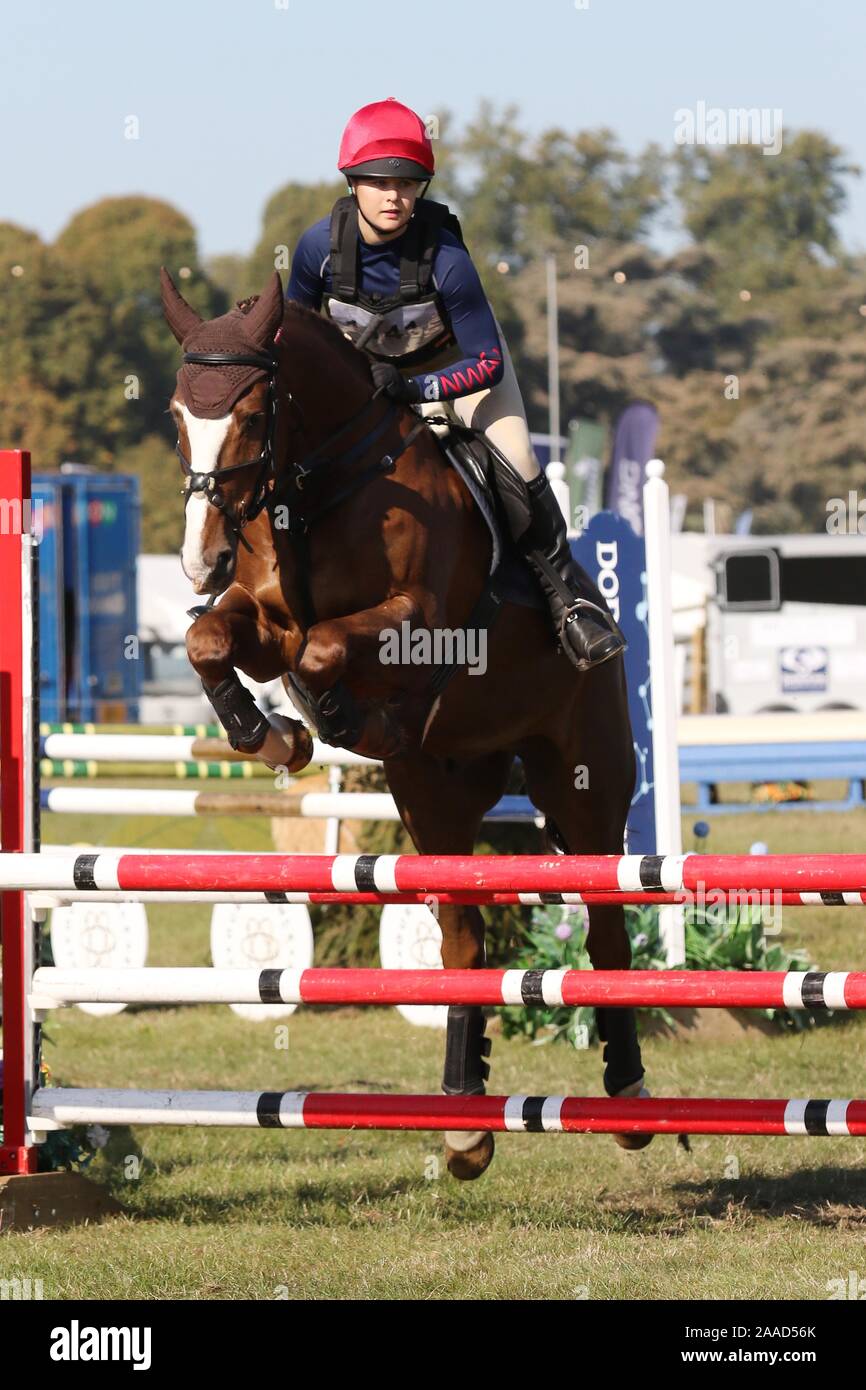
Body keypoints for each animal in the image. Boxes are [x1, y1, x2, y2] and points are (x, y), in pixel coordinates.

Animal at [164, 268, 650, 1173]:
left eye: (252, 412)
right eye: (178, 415)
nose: (200, 559)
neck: (320, 486)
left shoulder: (419, 622)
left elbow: (324, 650)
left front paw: (340, 715)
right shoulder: (264, 614)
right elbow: (212, 638)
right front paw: (273, 731)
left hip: (588, 785)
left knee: (606, 932)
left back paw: (631, 1099)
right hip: (436, 801)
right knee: (462, 942)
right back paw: (465, 1121)